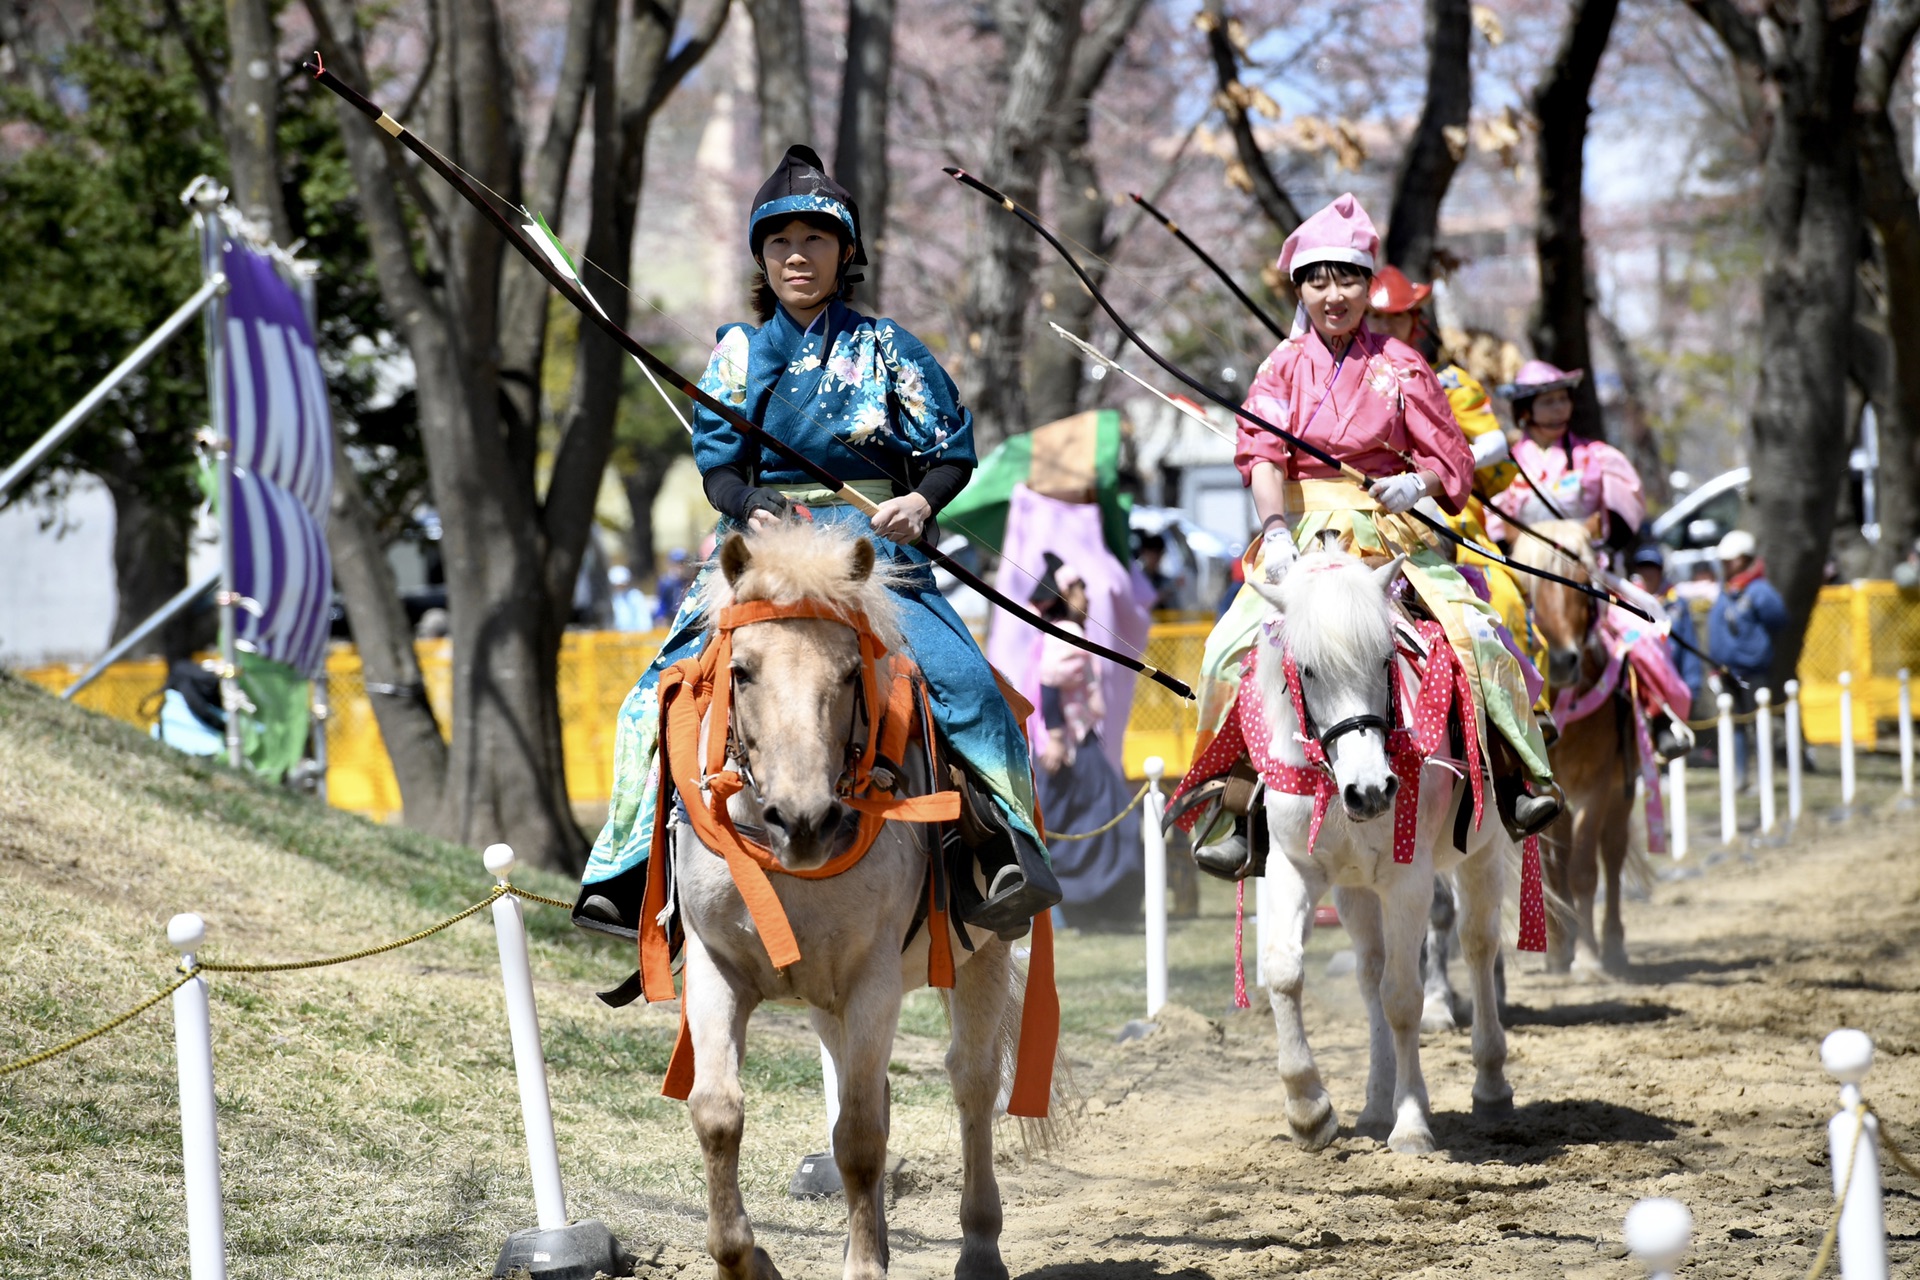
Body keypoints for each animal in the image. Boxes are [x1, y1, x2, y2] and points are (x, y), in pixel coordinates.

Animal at [668, 521, 1044, 1280]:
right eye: (742, 670)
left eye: (849, 674)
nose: (802, 820)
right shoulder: (716, 969)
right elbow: (719, 1113)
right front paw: (746, 1260)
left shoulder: (873, 980)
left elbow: (863, 1137)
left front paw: (865, 1265)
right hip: (825, 1001)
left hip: (982, 956)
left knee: (971, 1085)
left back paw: (979, 1247)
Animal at [1244, 556, 1512, 1159]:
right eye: (1308, 671)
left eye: (1385, 659)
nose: (1370, 791)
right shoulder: (1292, 868)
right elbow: (1284, 971)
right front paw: (1308, 1108)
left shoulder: (1407, 883)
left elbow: (1403, 997)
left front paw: (1411, 1122)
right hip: (1352, 890)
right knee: (1369, 971)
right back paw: (1373, 1101)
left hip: (1481, 855)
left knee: (1477, 947)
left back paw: (1490, 1084)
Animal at [1512, 514, 1635, 974]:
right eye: (1526, 587)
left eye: (1584, 583)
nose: (1562, 661)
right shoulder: (1546, 790)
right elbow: (1555, 869)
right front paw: (1561, 950)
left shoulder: (1597, 787)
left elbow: (1584, 868)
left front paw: (1588, 955)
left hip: (1622, 789)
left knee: (1611, 855)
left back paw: (1611, 943)